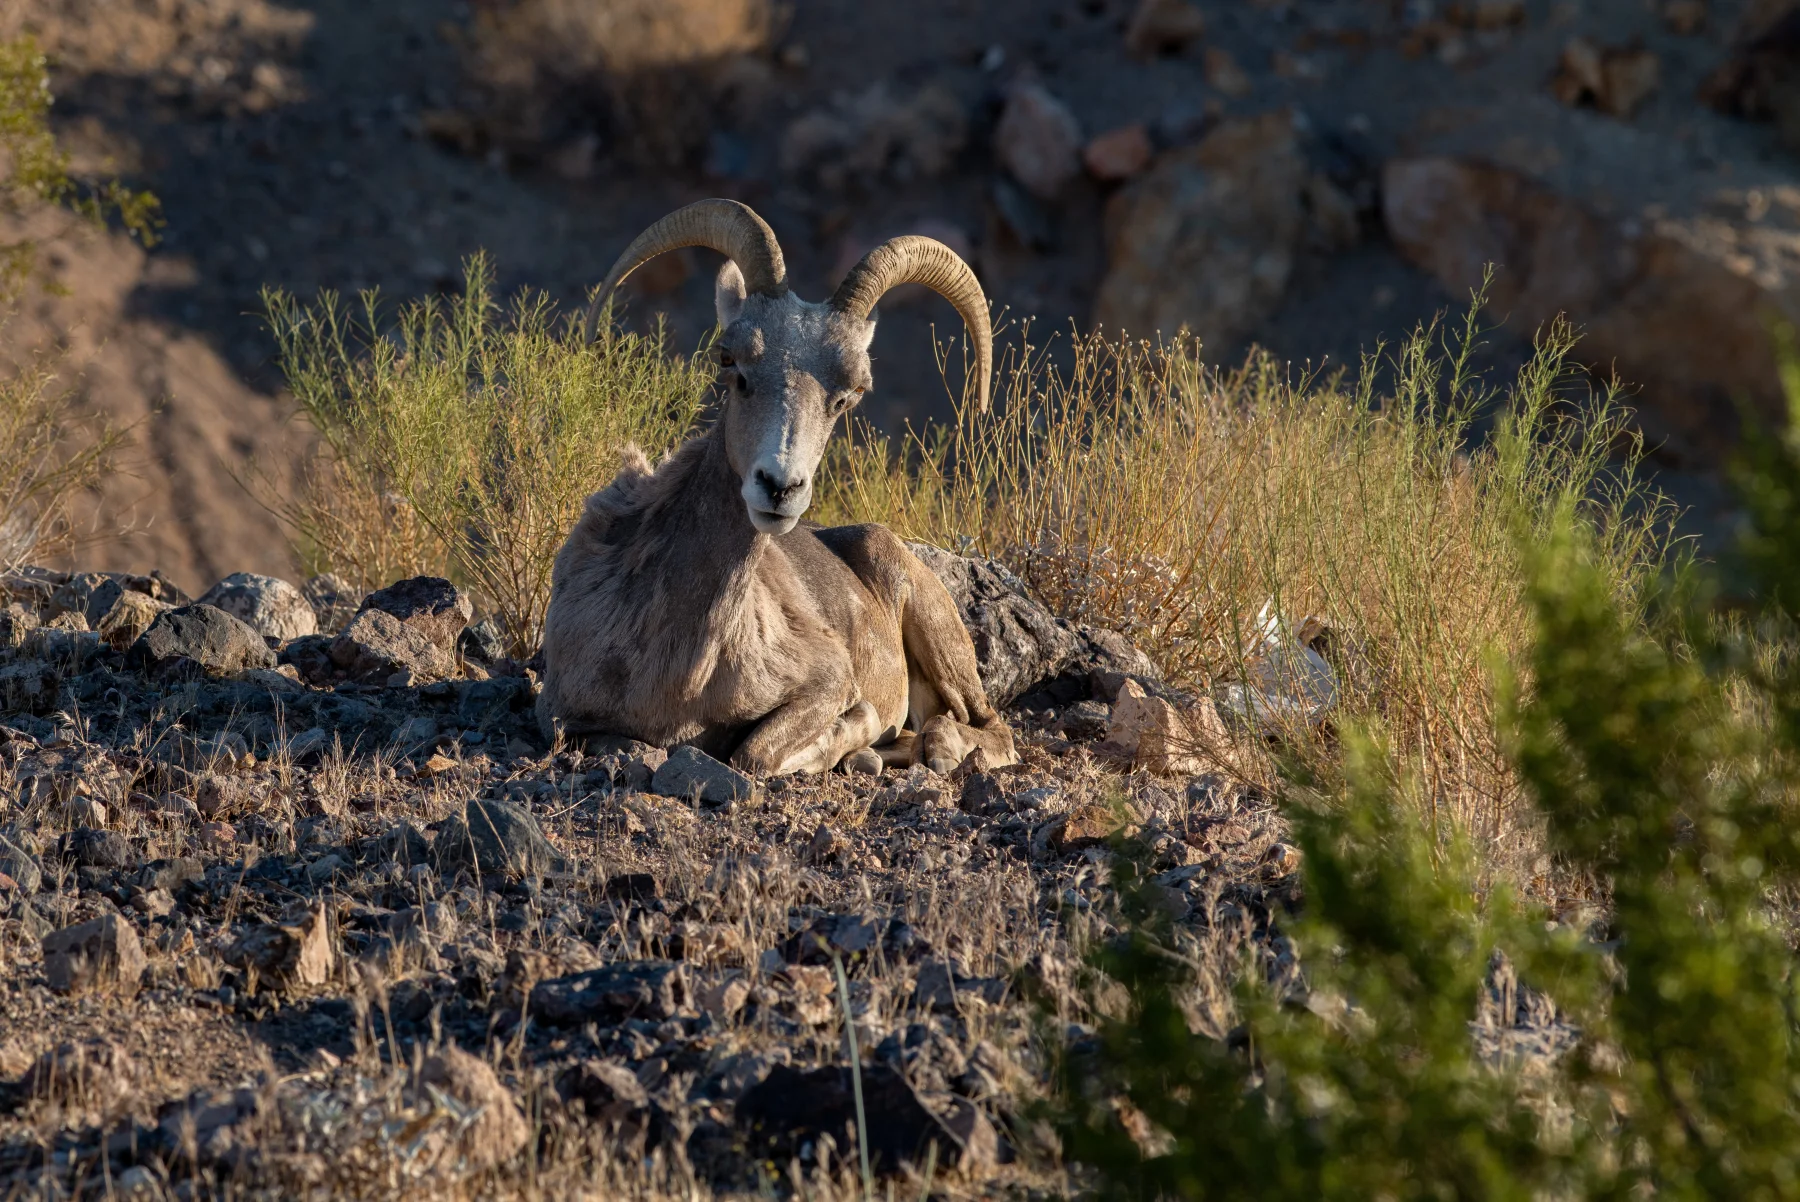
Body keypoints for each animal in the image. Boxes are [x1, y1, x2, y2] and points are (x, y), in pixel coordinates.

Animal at [536, 198, 1018, 776]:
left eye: (850, 394)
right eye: (730, 360)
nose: (780, 487)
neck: (676, 665)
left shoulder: (826, 681)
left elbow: (756, 752)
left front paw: (845, 735)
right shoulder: (561, 716)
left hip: (938, 639)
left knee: (989, 729)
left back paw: (934, 747)